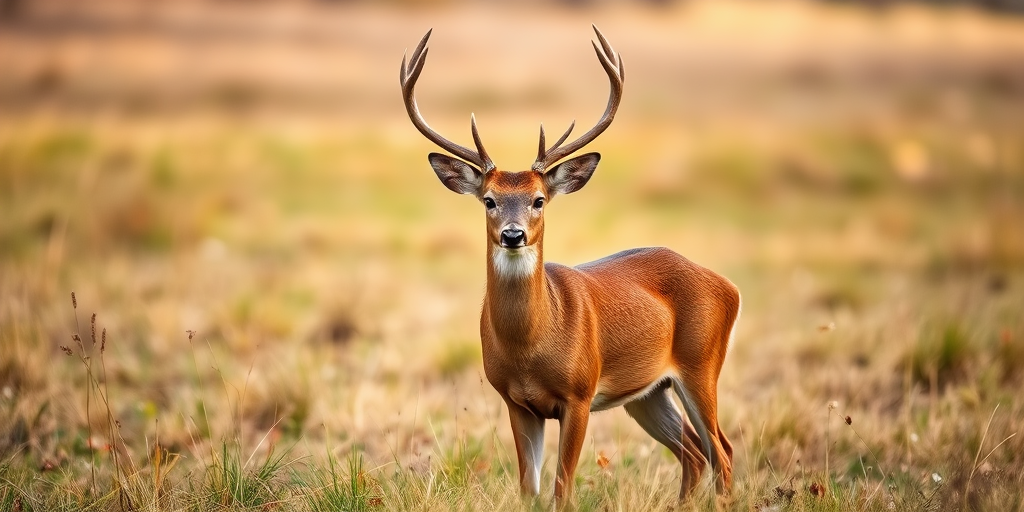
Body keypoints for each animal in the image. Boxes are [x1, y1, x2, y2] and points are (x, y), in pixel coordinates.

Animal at [399, 26, 741, 506]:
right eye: (489, 200)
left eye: (539, 200)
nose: (513, 235)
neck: (530, 345)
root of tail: (727, 286)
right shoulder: (516, 401)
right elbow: (529, 489)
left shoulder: (579, 395)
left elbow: (562, 486)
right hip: (648, 392)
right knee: (694, 452)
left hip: (701, 363)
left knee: (722, 451)